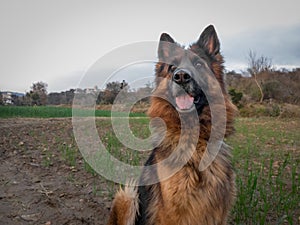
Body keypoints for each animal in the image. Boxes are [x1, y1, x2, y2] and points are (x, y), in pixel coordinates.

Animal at [106, 25, 236, 225]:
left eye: (198, 65)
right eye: (172, 67)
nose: (181, 76)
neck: (195, 146)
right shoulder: (171, 214)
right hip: (127, 196)